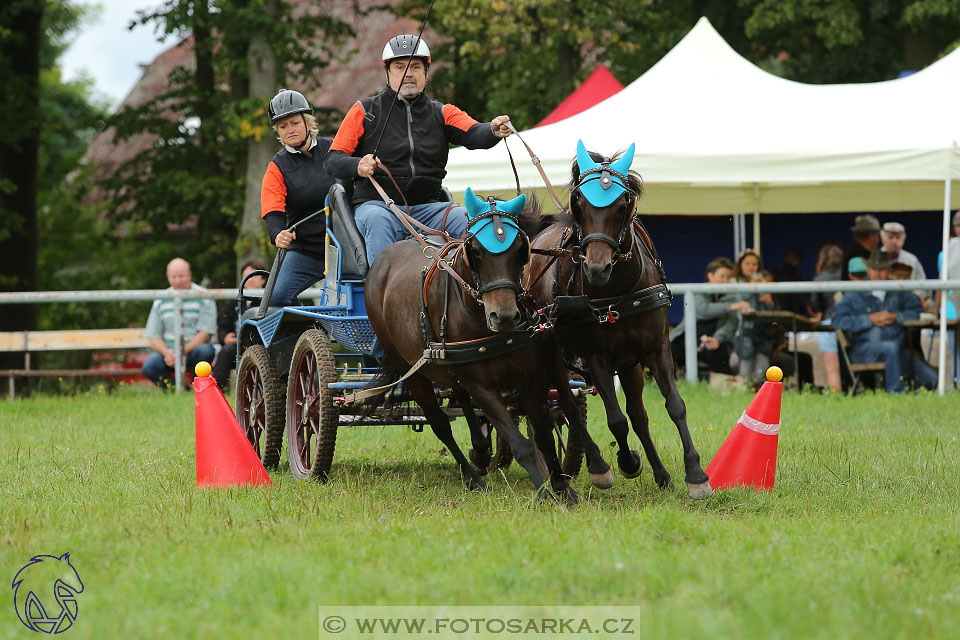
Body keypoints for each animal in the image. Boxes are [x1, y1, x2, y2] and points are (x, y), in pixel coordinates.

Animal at [360, 192, 616, 502]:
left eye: (520, 249)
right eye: (477, 251)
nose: (503, 316)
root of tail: (382, 260)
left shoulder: (531, 376)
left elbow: (543, 434)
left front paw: (562, 487)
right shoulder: (482, 387)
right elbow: (520, 444)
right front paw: (544, 492)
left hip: (448, 365)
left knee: (459, 395)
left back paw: (481, 451)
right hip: (411, 368)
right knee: (440, 423)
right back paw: (473, 477)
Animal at [524, 141, 712, 500]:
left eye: (623, 205)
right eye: (579, 203)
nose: (597, 268)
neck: (619, 290)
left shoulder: (656, 347)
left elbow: (674, 406)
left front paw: (695, 474)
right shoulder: (596, 356)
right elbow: (615, 420)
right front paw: (627, 462)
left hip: (629, 363)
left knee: (638, 414)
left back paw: (661, 474)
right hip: (553, 353)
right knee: (566, 405)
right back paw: (598, 465)